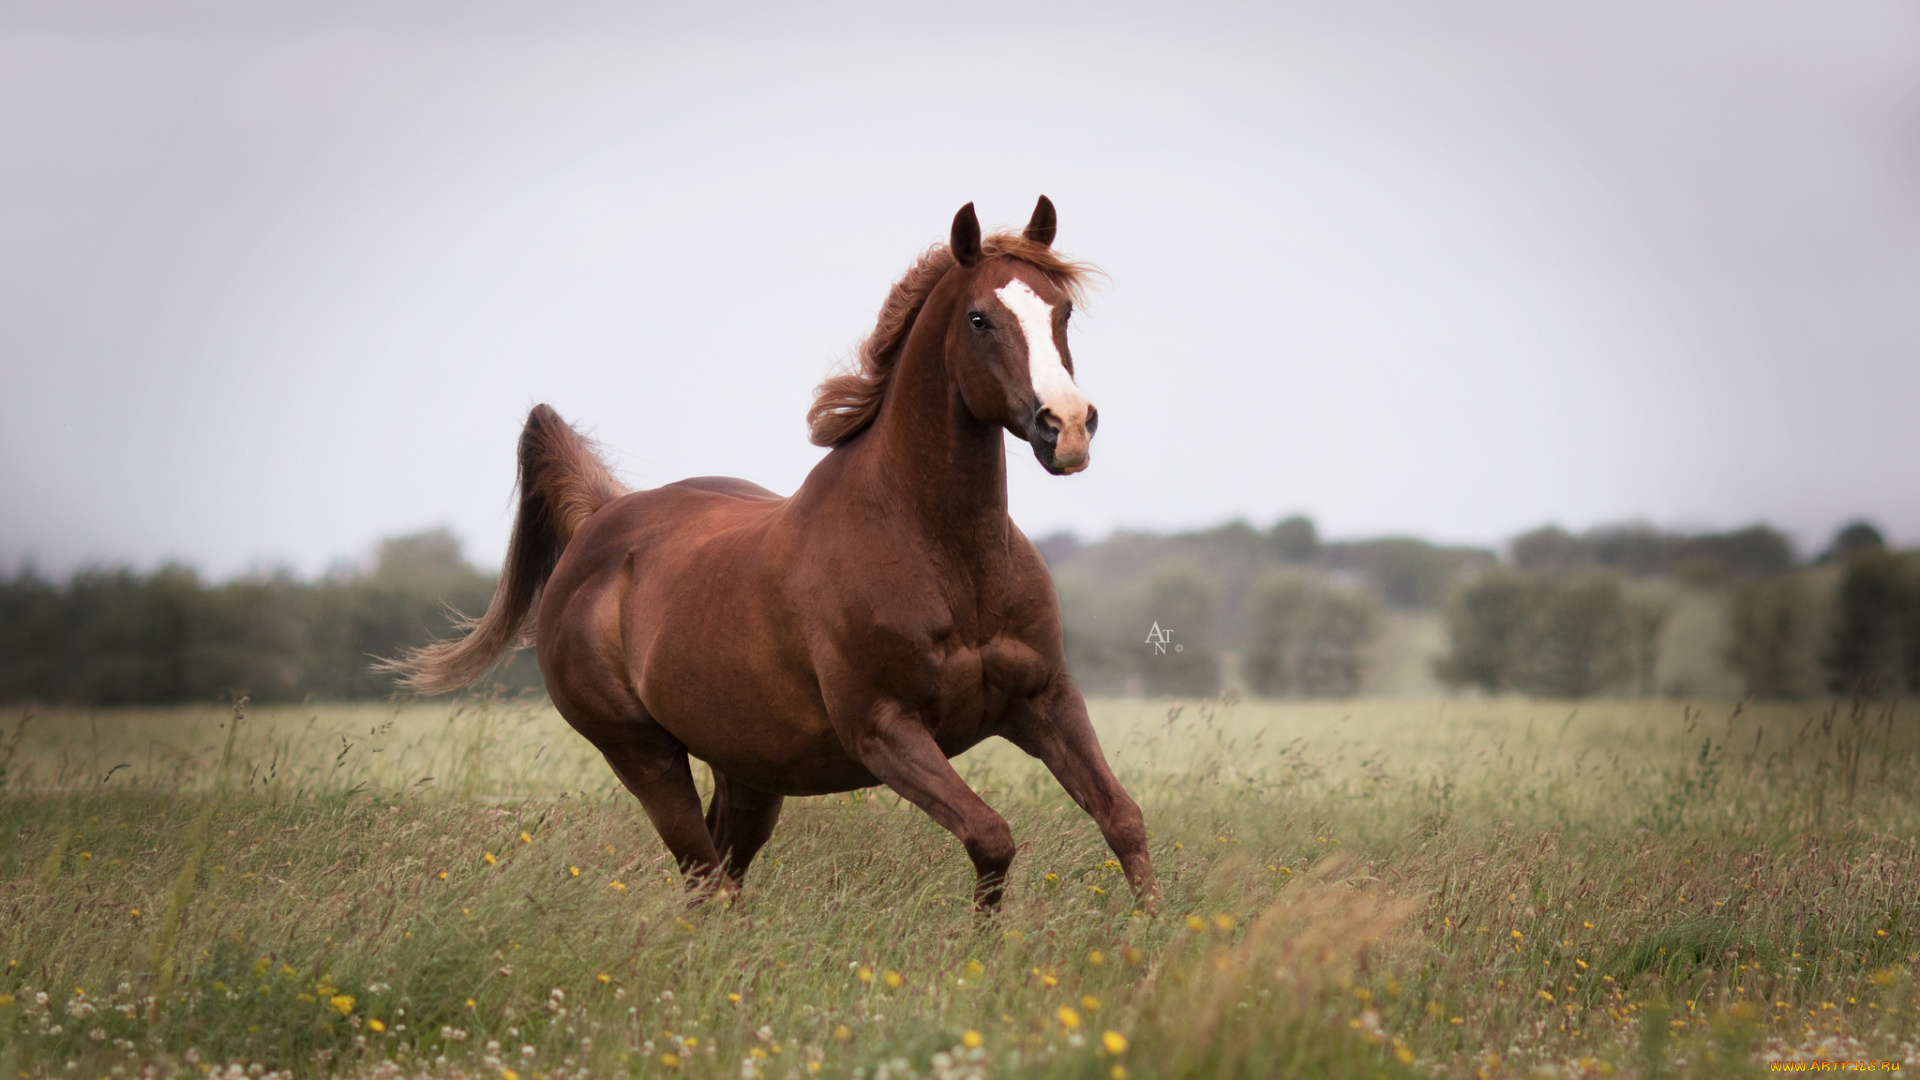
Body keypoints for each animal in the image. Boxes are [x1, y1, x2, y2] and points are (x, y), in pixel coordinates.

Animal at [385, 197, 1159, 911]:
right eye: (979, 319)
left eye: (1062, 311)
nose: (1066, 428)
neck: (945, 555)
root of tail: (599, 520)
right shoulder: (884, 730)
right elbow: (991, 837)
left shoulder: (1045, 700)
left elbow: (1123, 819)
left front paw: (1148, 940)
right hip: (645, 756)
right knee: (704, 882)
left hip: (750, 770)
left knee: (722, 876)